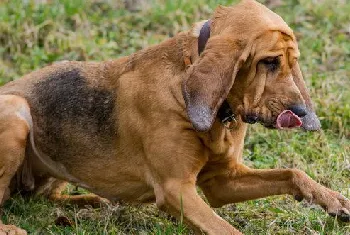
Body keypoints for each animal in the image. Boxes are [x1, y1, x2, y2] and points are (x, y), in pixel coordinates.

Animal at [0, 0, 350, 234]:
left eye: (293, 62)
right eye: (269, 62)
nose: (302, 113)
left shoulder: (223, 182)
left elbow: (293, 173)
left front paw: (334, 200)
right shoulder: (176, 189)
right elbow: (227, 230)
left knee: (45, 196)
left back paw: (95, 200)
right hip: (17, 113)